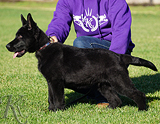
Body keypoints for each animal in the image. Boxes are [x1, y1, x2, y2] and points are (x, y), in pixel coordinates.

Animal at [5, 13, 158, 111]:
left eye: (20, 36)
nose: (7, 46)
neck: (44, 48)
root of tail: (119, 56)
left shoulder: (56, 82)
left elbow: (58, 98)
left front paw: (58, 111)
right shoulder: (50, 82)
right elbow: (50, 98)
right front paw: (50, 110)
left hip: (119, 81)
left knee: (138, 94)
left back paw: (141, 110)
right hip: (104, 85)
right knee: (116, 100)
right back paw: (109, 109)